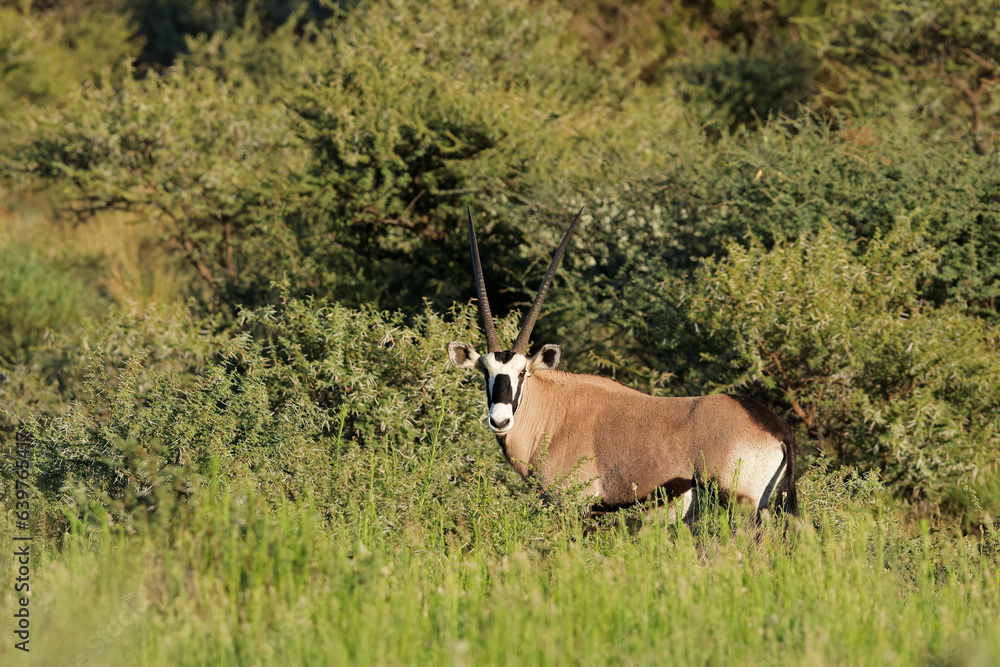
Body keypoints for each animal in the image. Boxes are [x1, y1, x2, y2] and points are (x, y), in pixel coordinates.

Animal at [446, 208, 798, 521]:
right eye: (485, 372)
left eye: (523, 372)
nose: (500, 420)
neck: (554, 413)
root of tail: (774, 426)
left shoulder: (575, 506)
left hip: (740, 505)